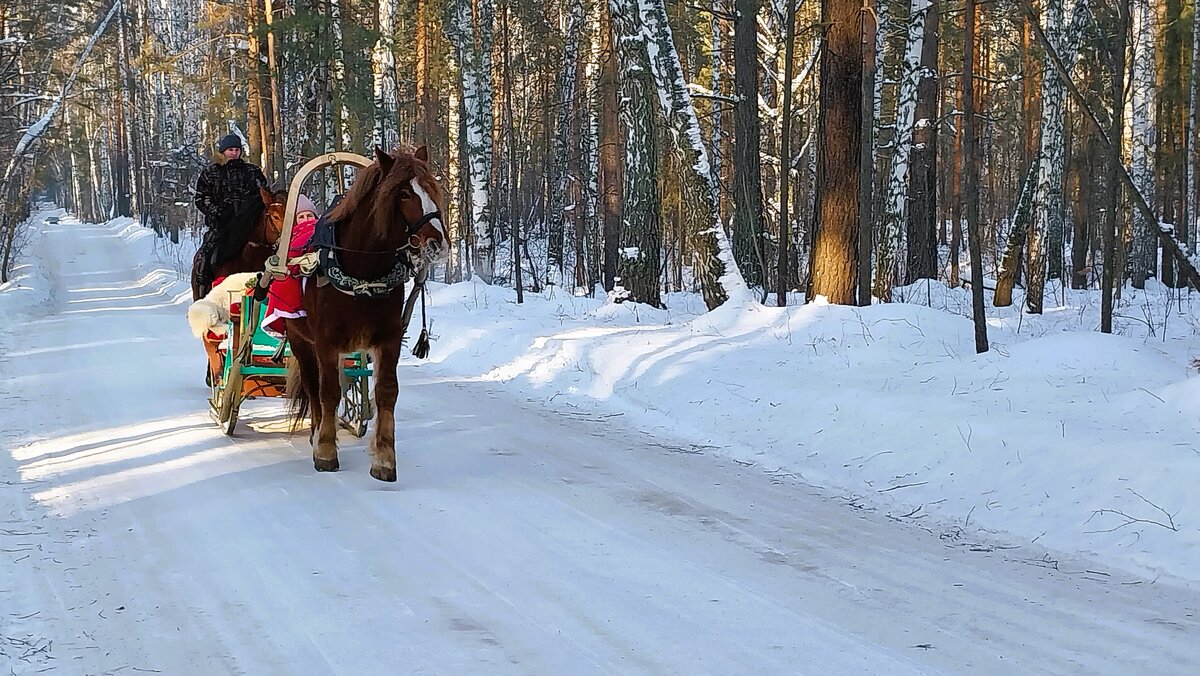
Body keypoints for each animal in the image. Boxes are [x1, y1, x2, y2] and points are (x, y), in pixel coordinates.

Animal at [284, 144, 446, 480]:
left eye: (432, 188)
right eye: (403, 194)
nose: (437, 243)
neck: (363, 275)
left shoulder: (388, 338)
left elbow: (386, 391)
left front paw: (384, 457)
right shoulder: (325, 342)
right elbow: (328, 392)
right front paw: (325, 450)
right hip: (300, 340)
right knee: (313, 385)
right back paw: (317, 432)